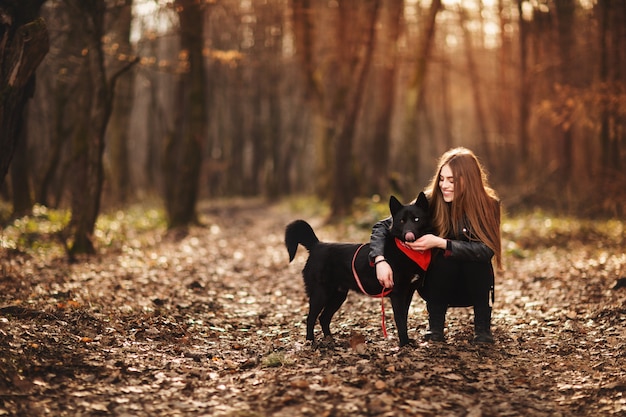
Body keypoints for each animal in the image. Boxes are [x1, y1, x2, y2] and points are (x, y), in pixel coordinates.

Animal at [282, 193, 428, 346]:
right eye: (401, 221)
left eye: (416, 219)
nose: (408, 235)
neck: (406, 251)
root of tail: (316, 245)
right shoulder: (398, 294)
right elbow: (400, 320)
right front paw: (404, 344)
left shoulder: (408, 293)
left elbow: (404, 318)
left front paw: (407, 342)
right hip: (320, 293)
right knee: (310, 318)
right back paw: (310, 341)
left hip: (338, 295)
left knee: (323, 318)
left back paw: (330, 340)